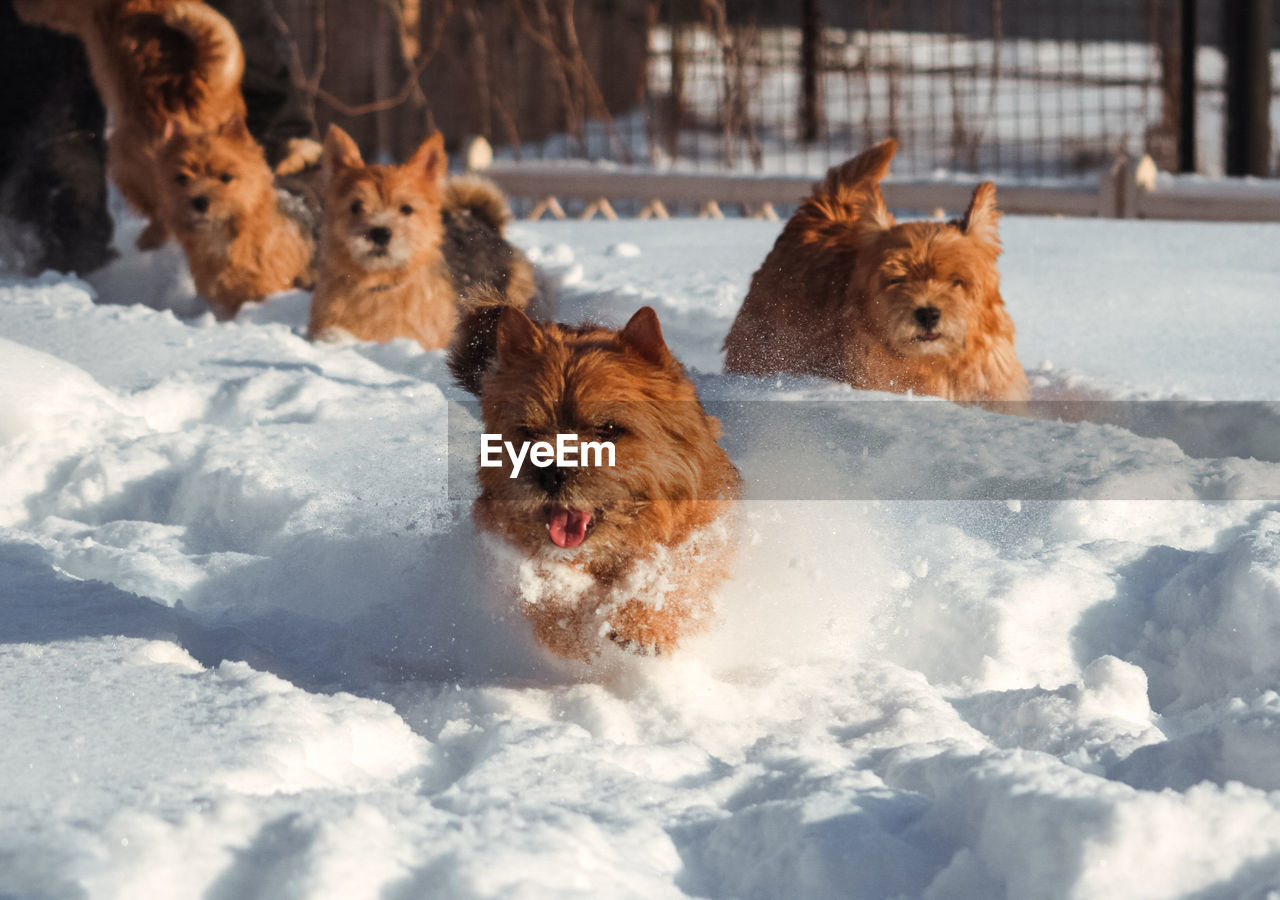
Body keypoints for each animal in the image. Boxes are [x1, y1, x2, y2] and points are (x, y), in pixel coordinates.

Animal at [450, 302, 742, 660]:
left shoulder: (707, 528)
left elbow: (679, 569)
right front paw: (569, 622)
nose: (552, 471)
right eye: (529, 431)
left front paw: (641, 625)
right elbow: (546, 581)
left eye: (610, 429)